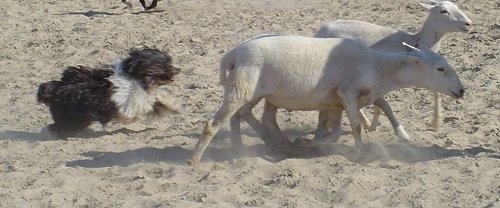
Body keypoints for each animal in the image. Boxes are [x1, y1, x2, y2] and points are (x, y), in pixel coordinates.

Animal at [37, 48, 182, 139]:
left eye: (169, 60)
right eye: (166, 64)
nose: (178, 69)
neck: (134, 75)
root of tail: (52, 91)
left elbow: (156, 102)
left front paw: (172, 106)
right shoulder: (128, 103)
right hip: (73, 120)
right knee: (57, 128)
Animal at [188, 35, 464, 164]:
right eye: (440, 69)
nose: (461, 91)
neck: (377, 66)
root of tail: (233, 53)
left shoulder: (336, 101)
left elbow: (333, 131)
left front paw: (311, 144)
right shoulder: (348, 93)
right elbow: (355, 126)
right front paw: (360, 153)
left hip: (252, 92)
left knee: (241, 116)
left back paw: (255, 145)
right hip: (242, 89)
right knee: (215, 123)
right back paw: (195, 159)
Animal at [262, 0, 472, 143]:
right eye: (444, 11)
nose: (469, 23)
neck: (416, 42)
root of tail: (322, 27)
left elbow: (436, 93)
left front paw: (436, 122)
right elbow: (382, 103)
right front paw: (373, 125)